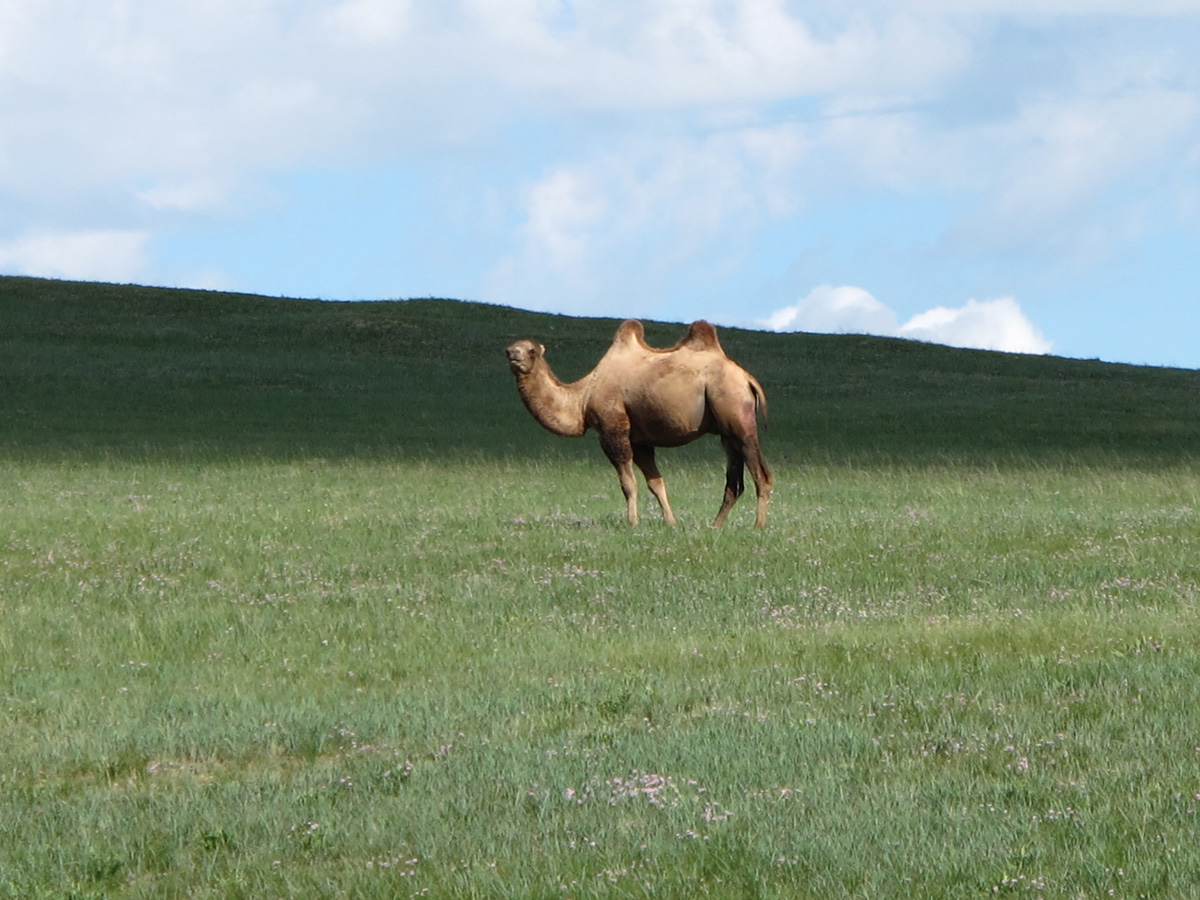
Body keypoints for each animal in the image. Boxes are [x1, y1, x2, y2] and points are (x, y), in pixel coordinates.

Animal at [505, 319, 772, 528]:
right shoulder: (641, 441)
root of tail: (746, 378)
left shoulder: (613, 430)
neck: (583, 397)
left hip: (737, 413)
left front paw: (632, 522)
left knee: (762, 474)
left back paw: (757, 526)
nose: (512, 354)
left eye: (531, 350)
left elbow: (628, 483)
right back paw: (715, 525)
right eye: (511, 348)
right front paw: (671, 522)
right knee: (734, 481)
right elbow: (656, 483)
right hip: (726, 432)